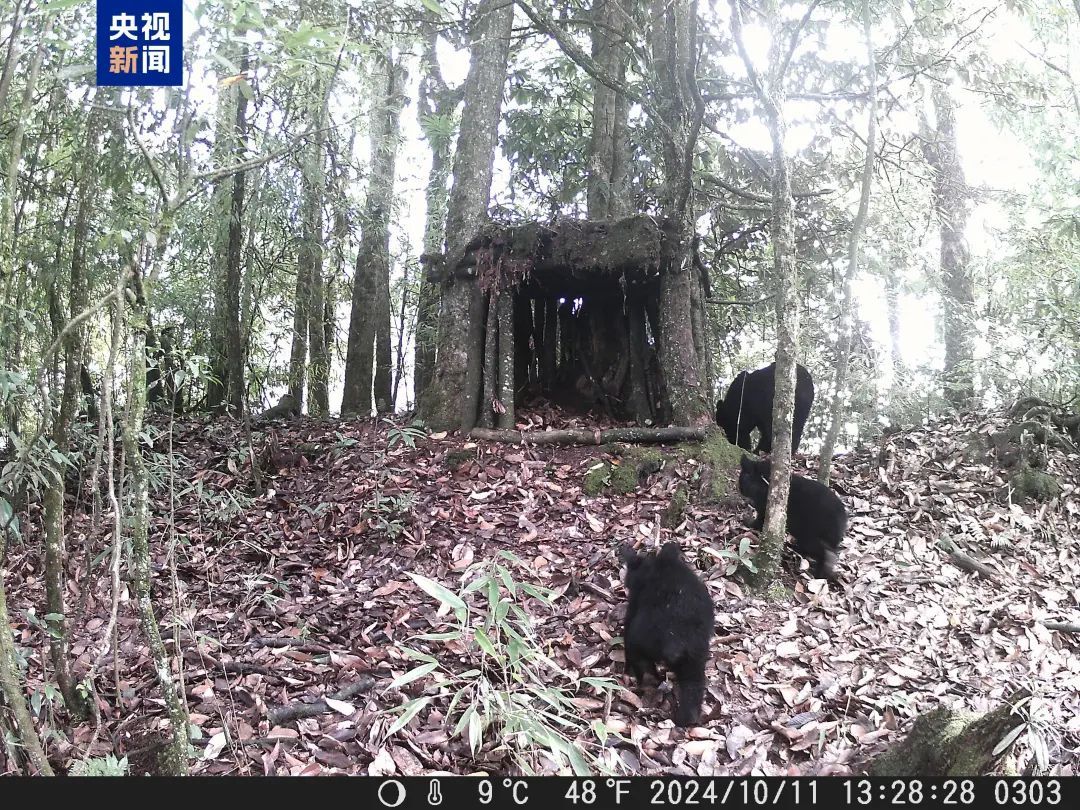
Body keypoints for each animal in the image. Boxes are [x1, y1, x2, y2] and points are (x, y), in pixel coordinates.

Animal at [618, 542, 714, 727]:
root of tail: (675, 640)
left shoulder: (635, 602)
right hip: (695, 657)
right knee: (693, 688)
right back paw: (686, 719)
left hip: (640, 639)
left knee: (642, 664)